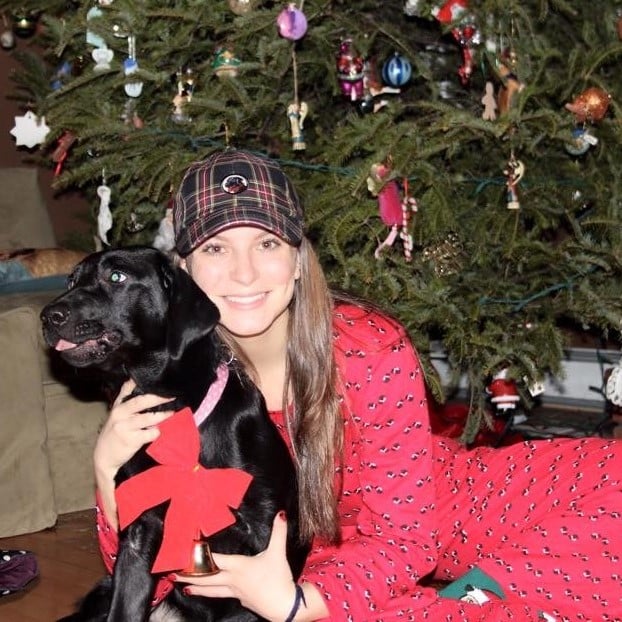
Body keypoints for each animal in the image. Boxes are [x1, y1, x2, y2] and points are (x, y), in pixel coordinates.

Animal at [40, 249, 308, 622]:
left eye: (117, 277)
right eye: (71, 280)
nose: (47, 317)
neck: (171, 408)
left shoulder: (263, 536)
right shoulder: (137, 538)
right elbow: (124, 609)